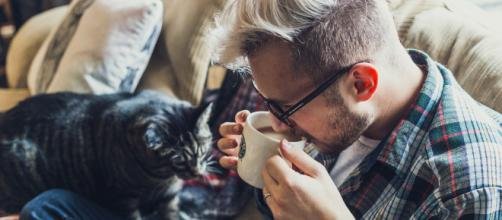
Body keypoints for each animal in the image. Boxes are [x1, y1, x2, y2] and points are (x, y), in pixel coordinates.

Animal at [0, 90, 214, 219]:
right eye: (178, 160)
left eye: (203, 150)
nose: (197, 172)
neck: (160, 179)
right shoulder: (123, 199)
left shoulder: (170, 197)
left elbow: (171, 214)